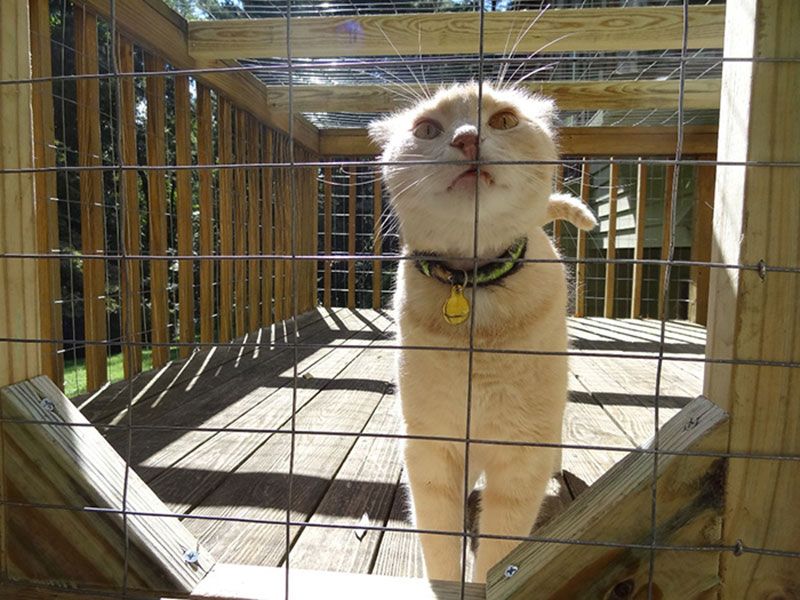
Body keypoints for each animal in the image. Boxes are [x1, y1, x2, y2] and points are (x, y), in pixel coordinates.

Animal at [368, 79, 592, 580]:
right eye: (427, 129)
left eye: (504, 120)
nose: (467, 138)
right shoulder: (431, 449)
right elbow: (439, 541)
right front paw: (444, 584)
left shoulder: (521, 455)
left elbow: (498, 555)